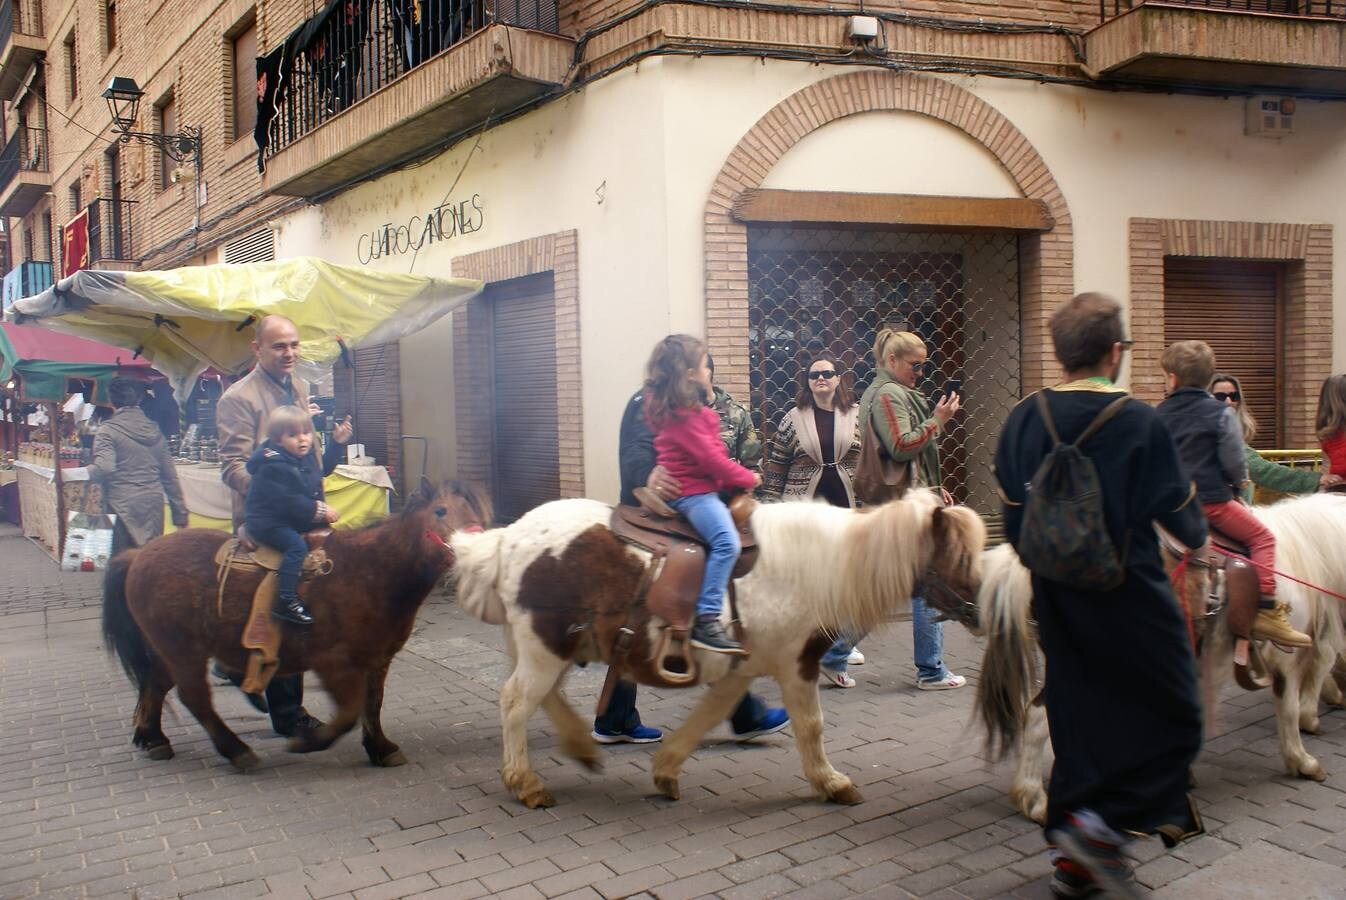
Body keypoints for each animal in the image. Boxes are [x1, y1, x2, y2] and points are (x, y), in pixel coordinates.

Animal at [446, 486, 985, 812]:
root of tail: (507, 539)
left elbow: (709, 714)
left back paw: (579, 746)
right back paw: (526, 783)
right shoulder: (796, 664)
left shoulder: (743, 669)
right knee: (517, 703)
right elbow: (811, 726)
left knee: (544, 698)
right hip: (545, 647)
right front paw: (832, 783)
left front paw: (666, 771)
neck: (812, 564)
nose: (983, 611)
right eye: (958, 556)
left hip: (550, 647)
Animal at [974, 492, 1346, 823]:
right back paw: (1038, 799)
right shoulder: (1282, 659)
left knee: (1040, 716)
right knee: (1042, 719)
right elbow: (1292, 703)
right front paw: (1303, 757)